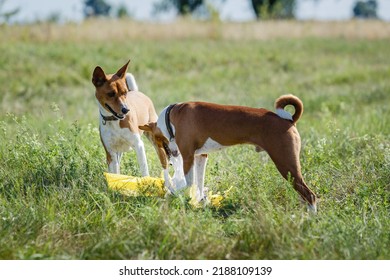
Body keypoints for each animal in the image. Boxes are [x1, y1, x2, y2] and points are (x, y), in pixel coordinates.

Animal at [140, 94, 316, 212]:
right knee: (305, 196)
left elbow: (188, 184)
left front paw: (174, 194)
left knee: (310, 195)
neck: (171, 117)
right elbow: (199, 183)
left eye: (156, 141)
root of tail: (288, 119)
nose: (171, 156)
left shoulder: (188, 157)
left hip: (286, 164)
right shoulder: (200, 156)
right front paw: (200, 202)